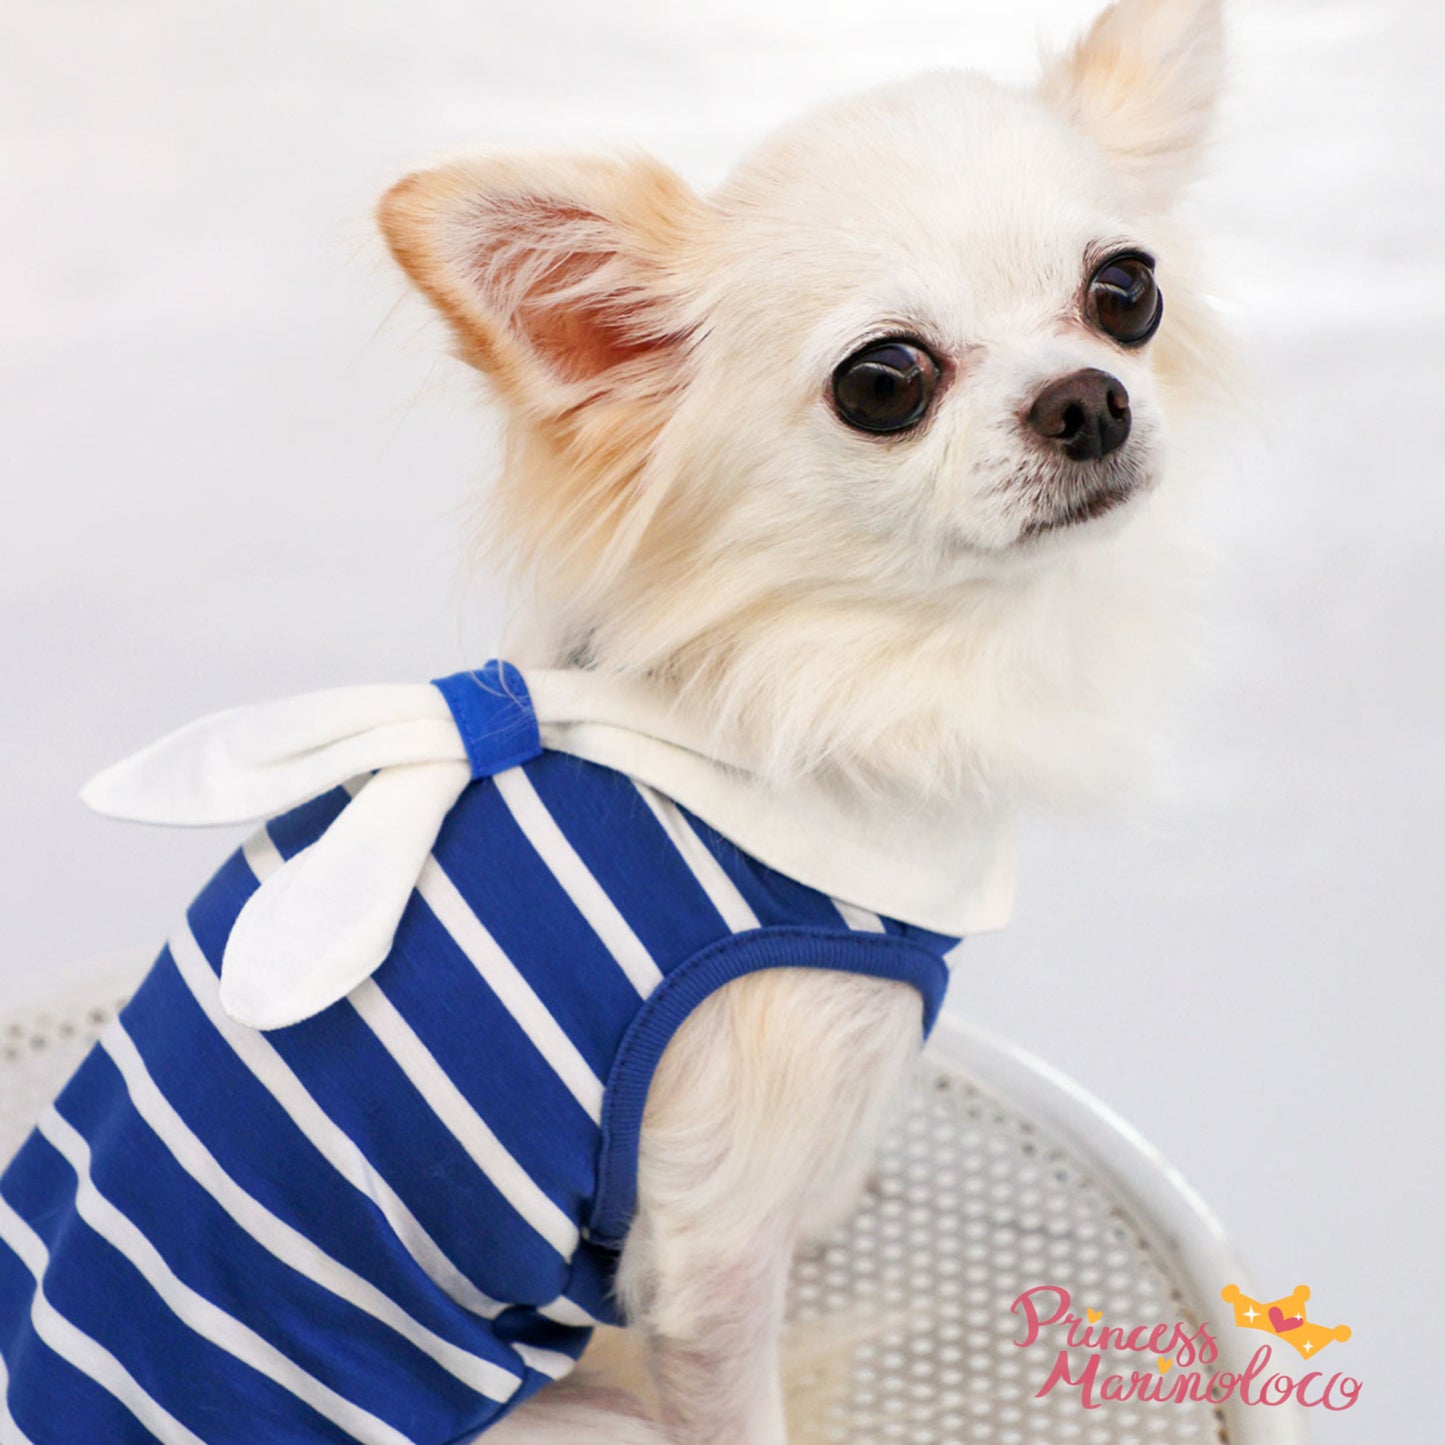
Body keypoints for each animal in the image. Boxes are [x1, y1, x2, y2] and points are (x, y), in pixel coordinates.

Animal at [0, 2, 1225, 1445]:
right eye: (883, 383)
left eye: (1124, 291)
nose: (1087, 397)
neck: (829, 677)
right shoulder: (714, 1246)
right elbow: (738, 1377)